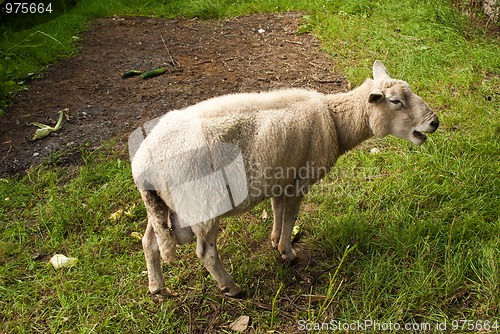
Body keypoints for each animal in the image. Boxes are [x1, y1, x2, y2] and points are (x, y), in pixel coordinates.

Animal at [129, 60, 438, 298]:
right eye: (396, 101)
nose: (435, 122)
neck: (336, 121)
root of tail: (143, 165)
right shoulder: (300, 179)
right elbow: (291, 217)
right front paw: (287, 252)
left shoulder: (280, 176)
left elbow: (277, 211)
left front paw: (275, 239)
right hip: (202, 202)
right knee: (205, 252)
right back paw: (231, 288)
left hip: (162, 205)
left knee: (149, 242)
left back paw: (158, 288)